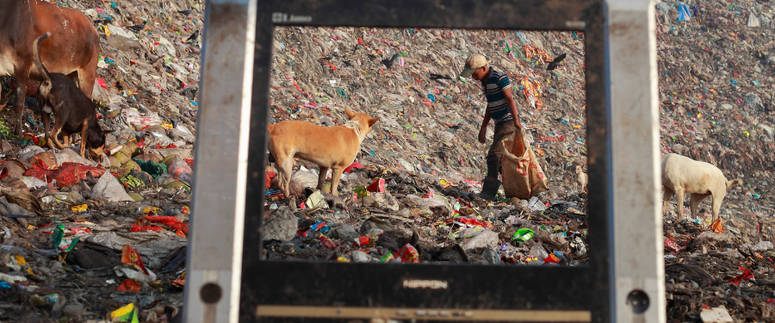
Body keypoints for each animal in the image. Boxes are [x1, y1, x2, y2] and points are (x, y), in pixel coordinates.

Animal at [0, 0, 100, 137]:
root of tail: (92, 27)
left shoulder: (23, 66)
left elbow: (19, 102)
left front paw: (19, 132)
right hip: (71, 76)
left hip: (87, 74)